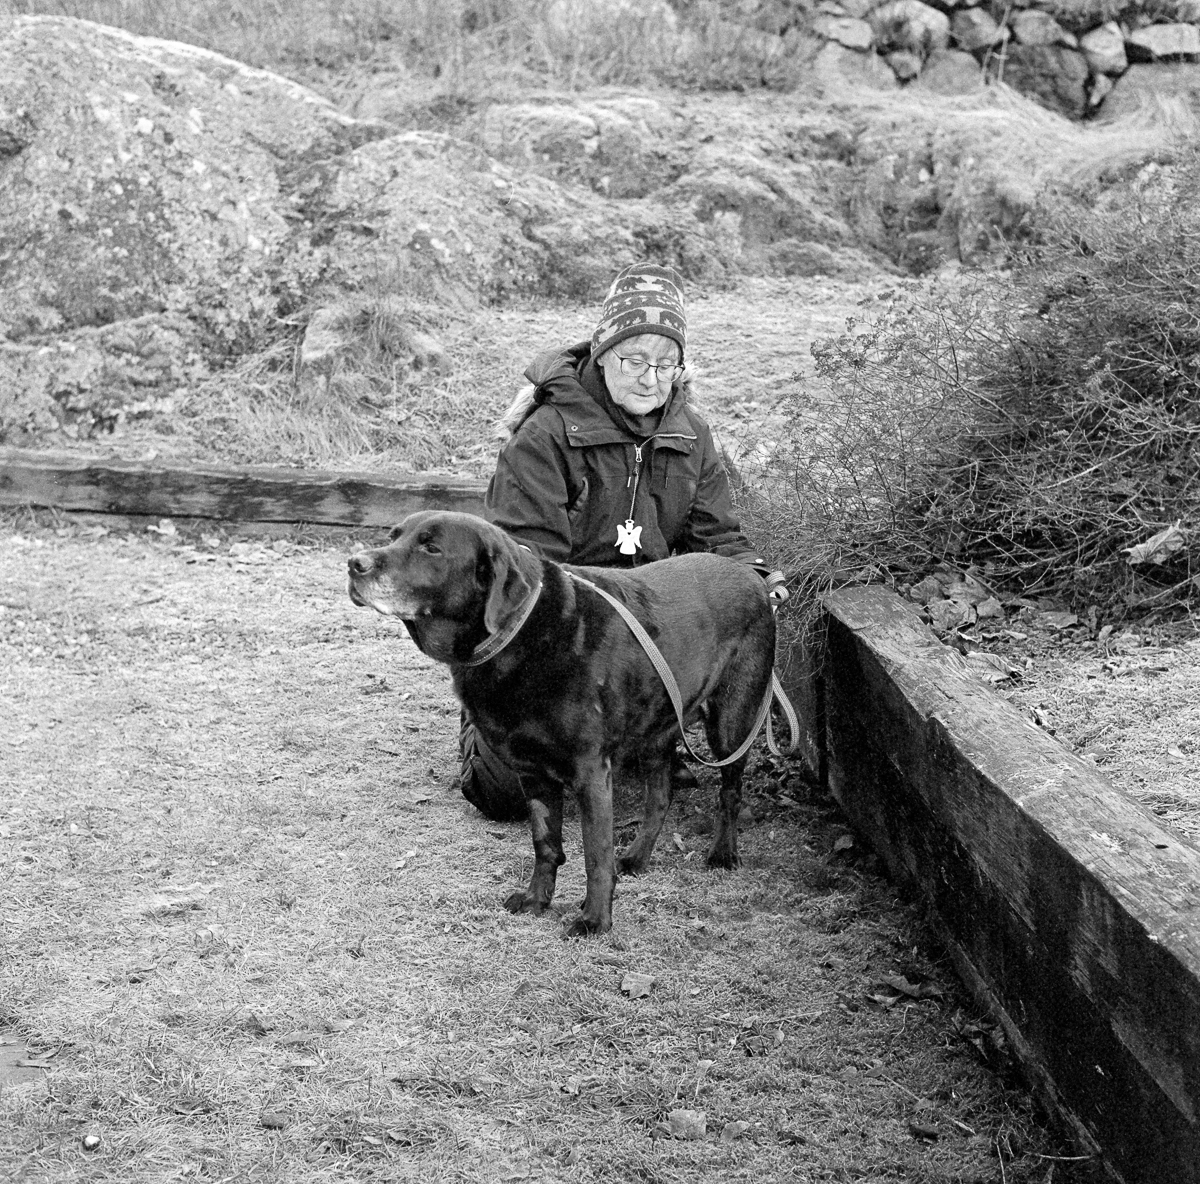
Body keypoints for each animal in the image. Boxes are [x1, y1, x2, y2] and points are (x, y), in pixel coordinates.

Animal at [348, 508, 777, 935]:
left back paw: (723, 853)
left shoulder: (591, 773)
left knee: (729, 793)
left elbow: (596, 855)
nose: (354, 564)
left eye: (432, 548)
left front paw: (595, 920)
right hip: (657, 728)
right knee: (659, 796)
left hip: (731, 722)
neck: (521, 635)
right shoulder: (532, 772)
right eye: (394, 536)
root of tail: (753, 578)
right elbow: (545, 844)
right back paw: (637, 857)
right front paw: (537, 900)